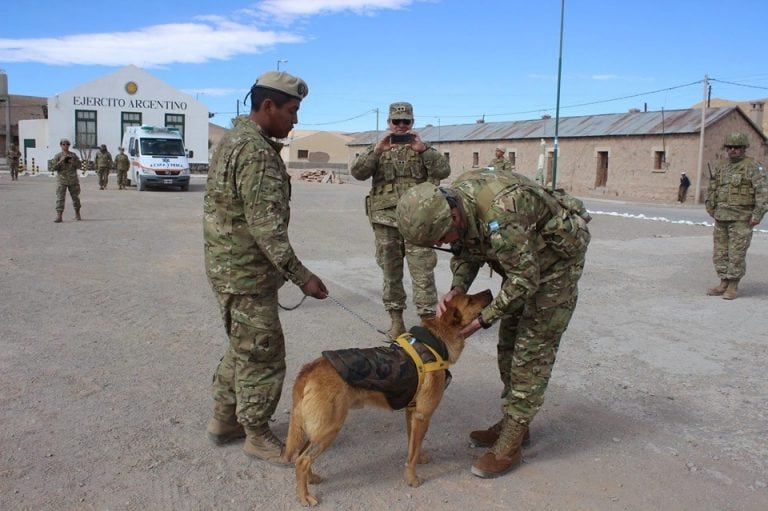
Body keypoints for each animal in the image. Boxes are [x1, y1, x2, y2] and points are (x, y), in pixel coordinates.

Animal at [282, 290, 492, 506]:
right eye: (470, 300)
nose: (490, 292)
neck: (434, 341)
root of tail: (310, 368)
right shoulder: (422, 416)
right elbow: (412, 454)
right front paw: (412, 478)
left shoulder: (412, 414)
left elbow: (413, 446)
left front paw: (418, 459)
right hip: (329, 429)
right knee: (302, 460)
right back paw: (304, 496)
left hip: (317, 428)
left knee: (302, 455)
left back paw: (311, 479)